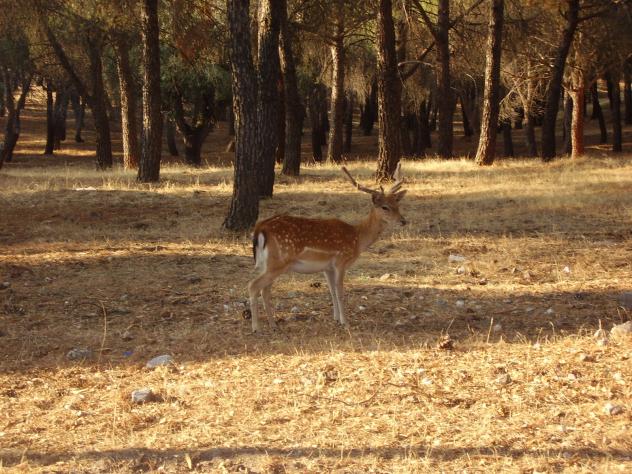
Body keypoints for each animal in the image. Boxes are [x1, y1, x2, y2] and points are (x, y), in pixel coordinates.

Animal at [247, 164, 407, 333]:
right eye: (385, 207)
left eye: (397, 205)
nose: (403, 221)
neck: (357, 238)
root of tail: (260, 228)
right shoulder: (341, 261)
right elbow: (340, 291)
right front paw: (345, 322)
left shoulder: (327, 267)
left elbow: (331, 291)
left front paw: (336, 318)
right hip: (278, 262)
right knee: (253, 286)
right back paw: (256, 327)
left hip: (269, 264)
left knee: (265, 290)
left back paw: (273, 324)